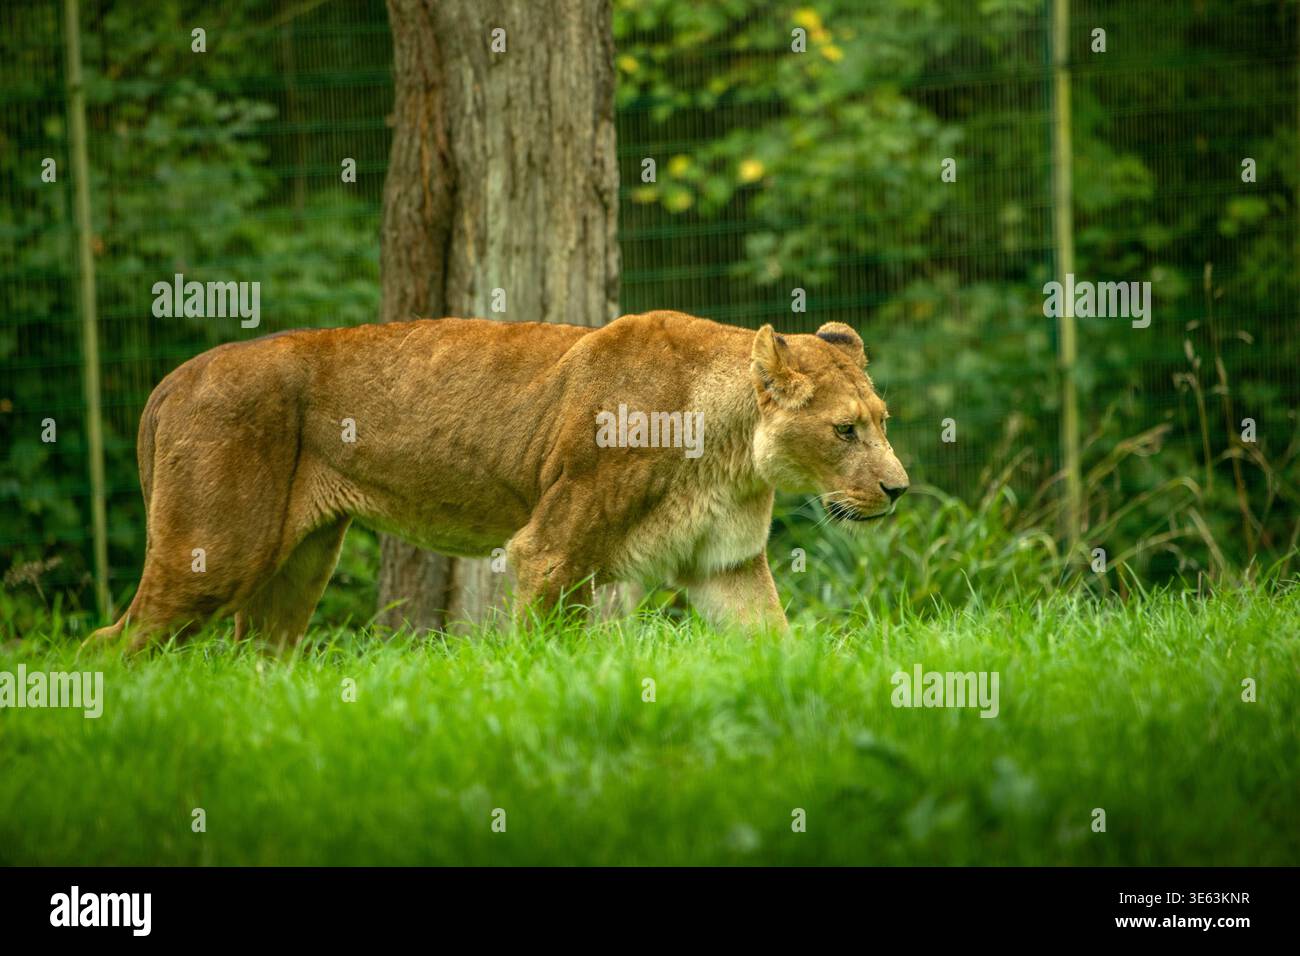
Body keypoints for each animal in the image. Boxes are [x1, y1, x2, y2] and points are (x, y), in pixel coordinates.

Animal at [86, 311, 908, 650]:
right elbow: (544, 652)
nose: (899, 489)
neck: (731, 454)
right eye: (845, 431)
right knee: (107, 644)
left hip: (298, 566)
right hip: (214, 552)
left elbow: (776, 643)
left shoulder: (723, 567)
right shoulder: (549, 551)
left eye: (882, 419)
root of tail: (172, 379)